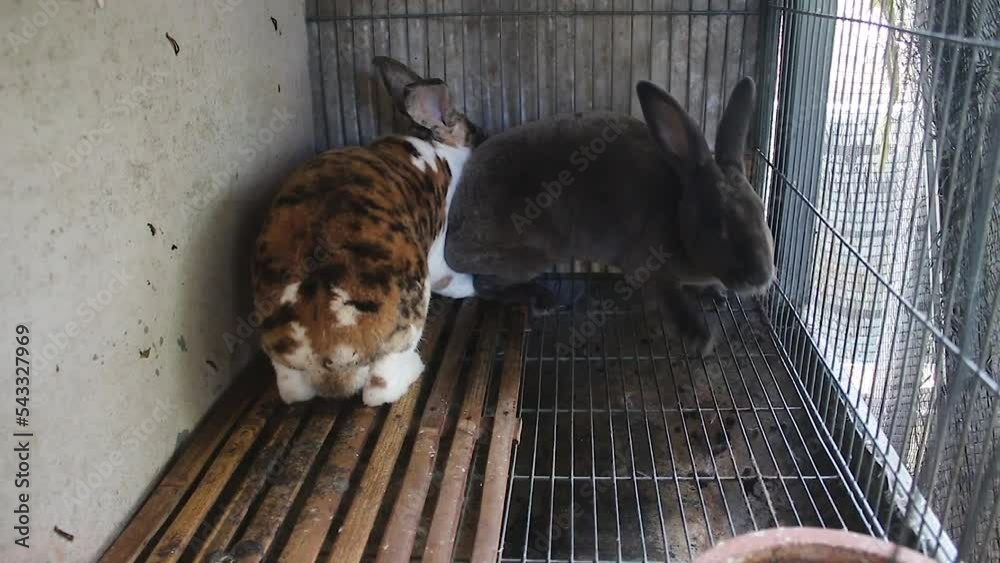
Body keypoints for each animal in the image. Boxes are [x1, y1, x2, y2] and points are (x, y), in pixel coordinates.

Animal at [252, 56, 484, 406]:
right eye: (474, 133)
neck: (438, 146)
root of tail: (331, 347)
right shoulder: (440, 252)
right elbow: (451, 278)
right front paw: (472, 286)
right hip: (410, 314)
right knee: (379, 389)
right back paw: (416, 368)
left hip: (285, 363)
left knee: (293, 391)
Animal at [444, 77, 774, 355]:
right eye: (715, 222)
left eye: (761, 212)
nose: (760, 277)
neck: (680, 213)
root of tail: (452, 237)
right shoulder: (648, 266)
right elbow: (671, 299)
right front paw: (700, 338)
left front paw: (716, 293)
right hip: (529, 257)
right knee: (483, 285)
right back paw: (543, 298)